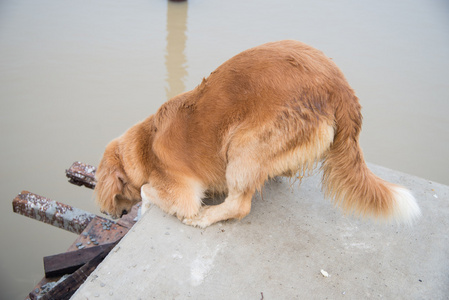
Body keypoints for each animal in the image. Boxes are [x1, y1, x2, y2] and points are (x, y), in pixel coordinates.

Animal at [95, 39, 420, 227]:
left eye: (116, 199)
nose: (113, 217)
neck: (146, 142)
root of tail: (340, 86)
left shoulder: (180, 193)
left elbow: (148, 191)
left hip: (243, 144)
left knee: (239, 205)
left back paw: (207, 218)